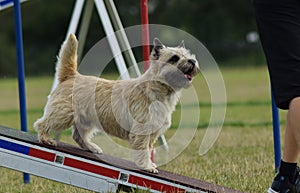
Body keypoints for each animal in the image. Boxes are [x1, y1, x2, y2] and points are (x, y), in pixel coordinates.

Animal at [34, 34, 199, 173]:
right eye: (174, 58)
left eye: (188, 55)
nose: (192, 61)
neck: (160, 91)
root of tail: (72, 76)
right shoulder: (142, 131)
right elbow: (143, 150)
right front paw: (147, 166)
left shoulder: (153, 133)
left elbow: (148, 148)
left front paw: (150, 164)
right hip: (63, 114)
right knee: (43, 123)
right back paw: (46, 139)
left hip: (86, 120)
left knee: (78, 136)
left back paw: (92, 147)